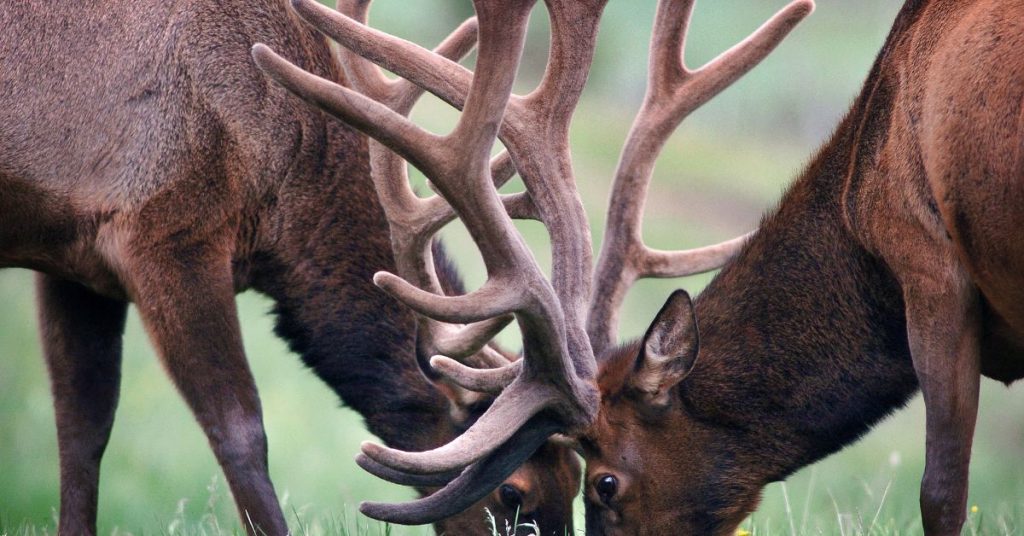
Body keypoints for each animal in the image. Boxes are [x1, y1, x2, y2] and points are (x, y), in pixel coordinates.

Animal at [0, 2, 577, 532]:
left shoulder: (75, 259)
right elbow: (239, 432)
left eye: (574, 480)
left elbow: (82, 429)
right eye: (512, 492)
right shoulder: (164, 235)